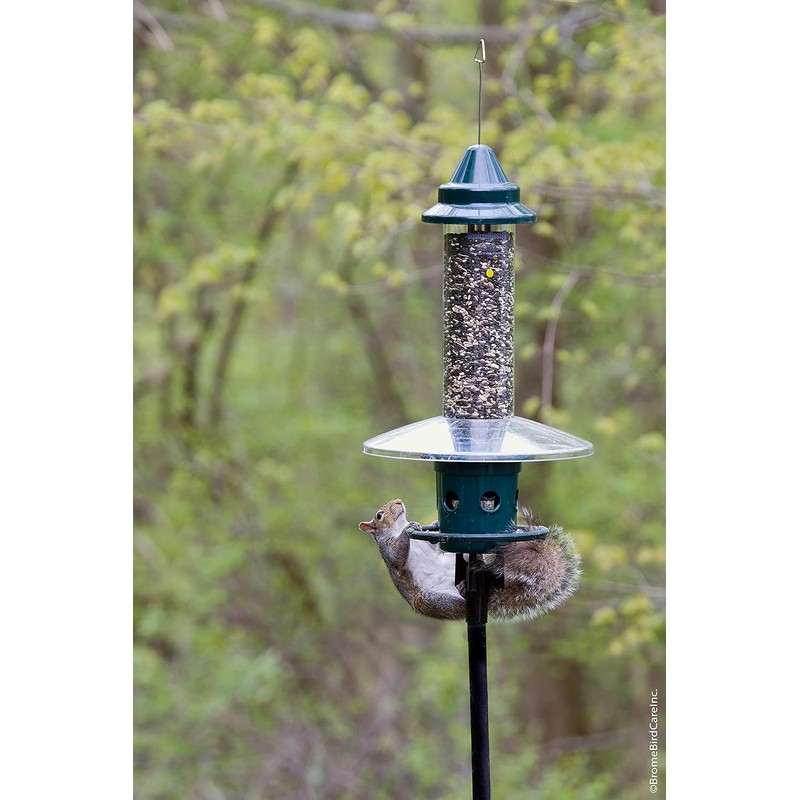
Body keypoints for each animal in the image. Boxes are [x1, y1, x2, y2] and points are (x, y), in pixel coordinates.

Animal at [358, 498, 580, 622]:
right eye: (379, 515)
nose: (398, 501)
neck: (395, 529)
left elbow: (434, 545)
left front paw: (430, 523)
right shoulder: (388, 551)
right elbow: (397, 557)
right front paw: (408, 528)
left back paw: (477, 568)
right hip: (431, 600)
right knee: (460, 605)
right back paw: (464, 592)